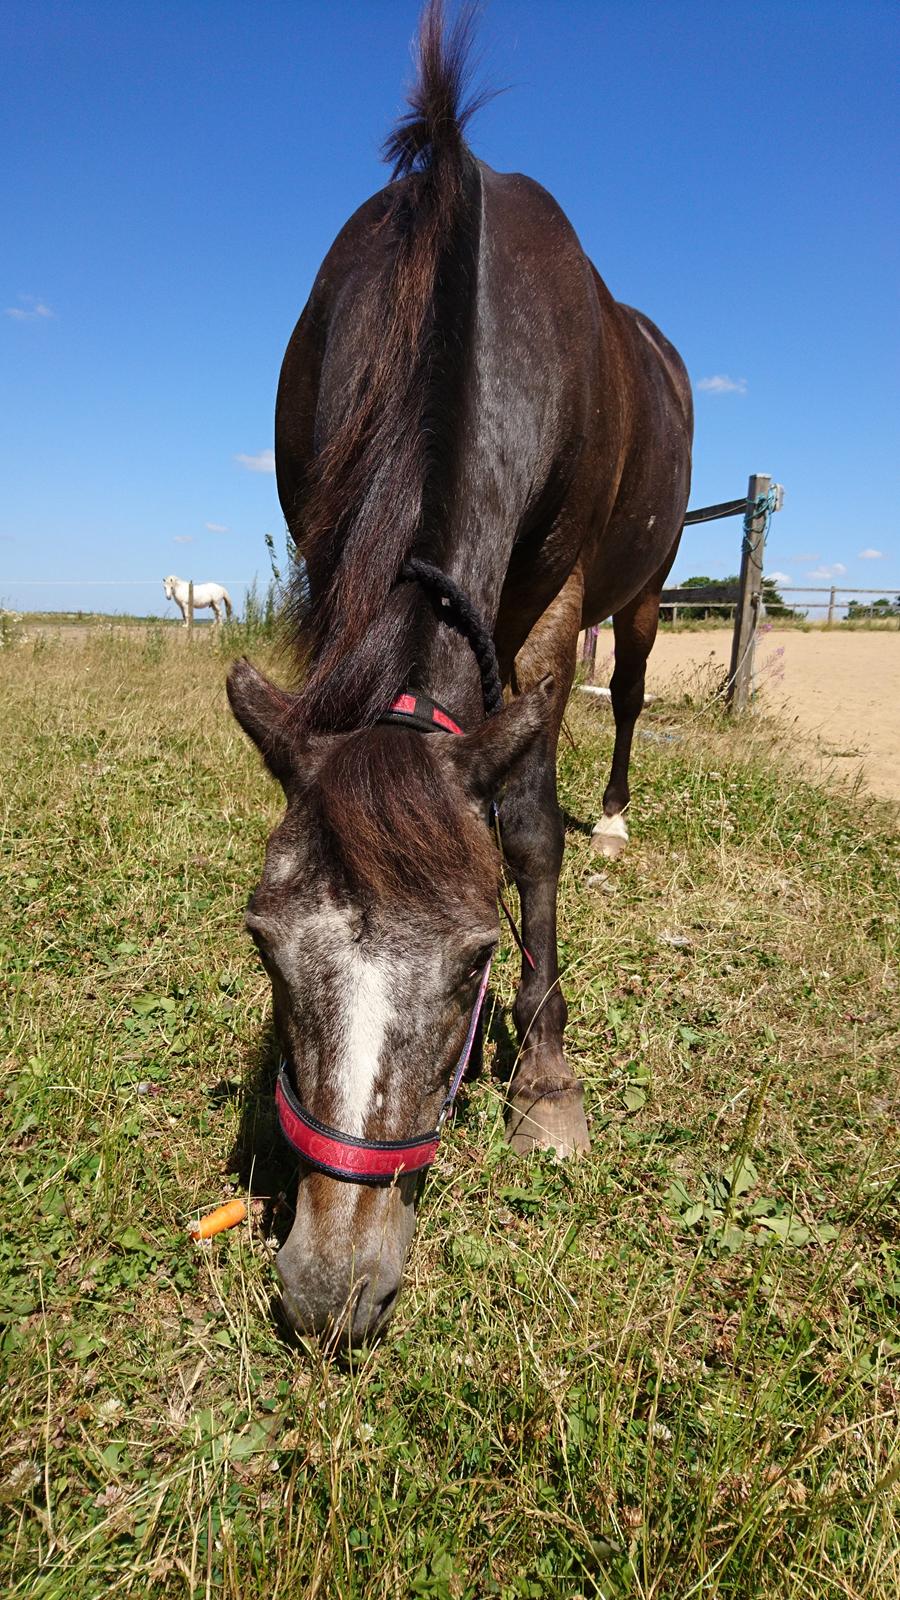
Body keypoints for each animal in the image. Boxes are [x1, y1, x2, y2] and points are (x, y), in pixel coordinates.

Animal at [227, 0, 688, 1344]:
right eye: (264, 943)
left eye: (478, 956)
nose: (332, 1285)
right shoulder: (325, 549)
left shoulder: (558, 597)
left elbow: (526, 824)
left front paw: (546, 1081)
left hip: (643, 593)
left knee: (627, 701)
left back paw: (618, 816)